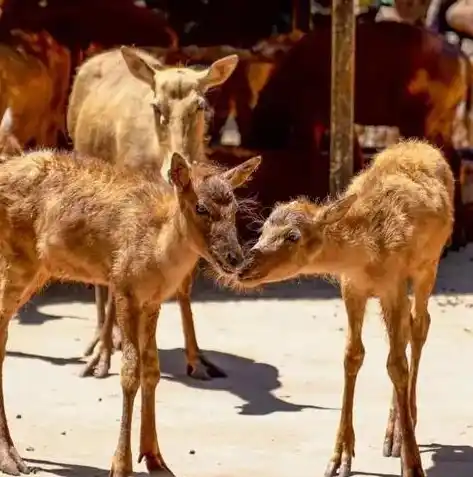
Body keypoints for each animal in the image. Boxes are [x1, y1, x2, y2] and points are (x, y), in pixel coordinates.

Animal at [0, 122, 262, 472]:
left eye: (234, 209)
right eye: (201, 207)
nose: (235, 258)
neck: (158, 253)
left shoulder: (152, 301)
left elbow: (151, 369)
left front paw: (155, 458)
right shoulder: (124, 286)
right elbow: (129, 373)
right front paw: (121, 465)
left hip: (35, 269)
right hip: (17, 262)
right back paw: (11, 458)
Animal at [66, 44, 240, 380]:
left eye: (200, 106)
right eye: (157, 107)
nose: (172, 169)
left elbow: (184, 283)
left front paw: (198, 359)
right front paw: (102, 359)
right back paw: (100, 341)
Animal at [236, 139, 454, 476]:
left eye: (293, 236)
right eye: (261, 231)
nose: (243, 268)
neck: (368, 252)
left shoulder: (393, 284)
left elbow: (396, 365)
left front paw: (412, 464)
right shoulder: (352, 287)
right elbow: (353, 356)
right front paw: (339, 458)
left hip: (427, 266)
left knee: (420, 326)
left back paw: (405, 428)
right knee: (407, 332)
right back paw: (392, 434)